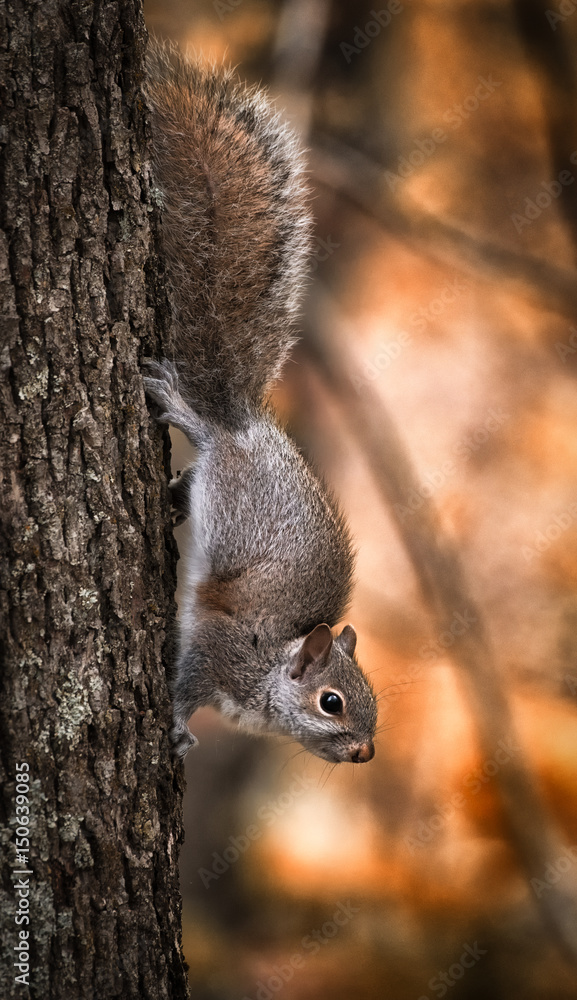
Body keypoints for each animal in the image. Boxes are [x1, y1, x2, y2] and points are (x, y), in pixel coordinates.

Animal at [143, 40, 377, 765]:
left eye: (375, 702)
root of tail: (244, 420)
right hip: (229, 468)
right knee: (204, 431)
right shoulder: (215, 652)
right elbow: (185, 683)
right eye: (331, 703)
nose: (365, 753)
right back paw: (181, 406)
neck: (271, 668)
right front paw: (178, 727)